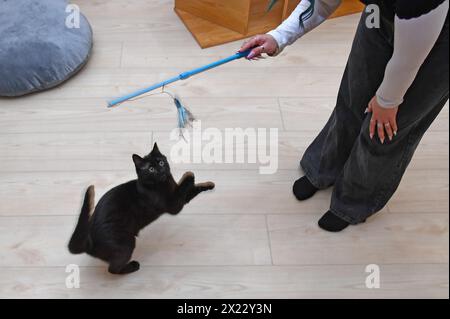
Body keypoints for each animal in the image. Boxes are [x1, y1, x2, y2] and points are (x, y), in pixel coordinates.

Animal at [68, 143, 214, 276]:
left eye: (161, 162)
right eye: (151, 169)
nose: (161, 170)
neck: (162, 183)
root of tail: (88, 242)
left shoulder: (182, 199)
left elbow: (192, 189)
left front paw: (209, 185)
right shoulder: (174, 205)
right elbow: (183, 186)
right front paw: (189, 175)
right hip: (127, 243)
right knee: (113, 269)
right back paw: (132, 267)